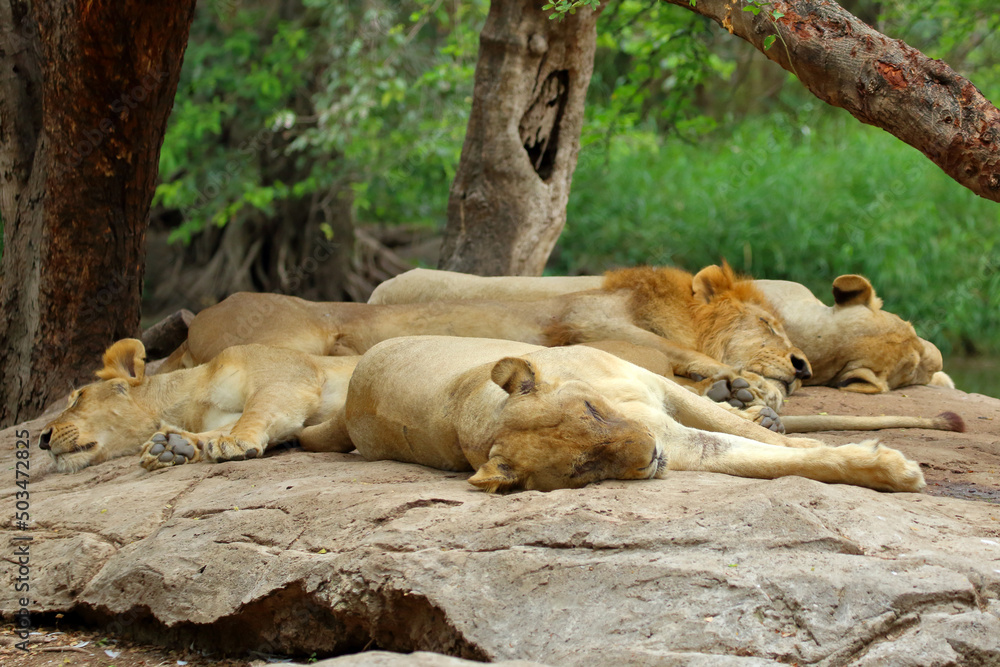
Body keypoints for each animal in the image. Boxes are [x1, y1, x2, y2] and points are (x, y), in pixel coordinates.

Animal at [38, 339, 357, 473]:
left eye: (78, 397)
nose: (42, 439)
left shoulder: (287, 378)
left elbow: (256, 410)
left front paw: (236, 442)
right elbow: (219, 429)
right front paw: (171, 446)